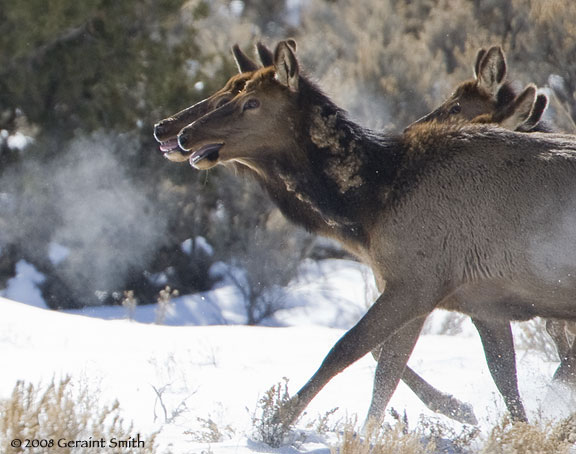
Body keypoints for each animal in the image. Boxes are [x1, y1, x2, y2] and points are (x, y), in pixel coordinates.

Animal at [172, 40, 576, 428]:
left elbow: (347, 350)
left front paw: (275, 422)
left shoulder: (417, 280)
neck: (374, 201)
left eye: (250, 101)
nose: (180, 133)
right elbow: (474, 376)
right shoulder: (471, 297)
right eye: (233, 91)